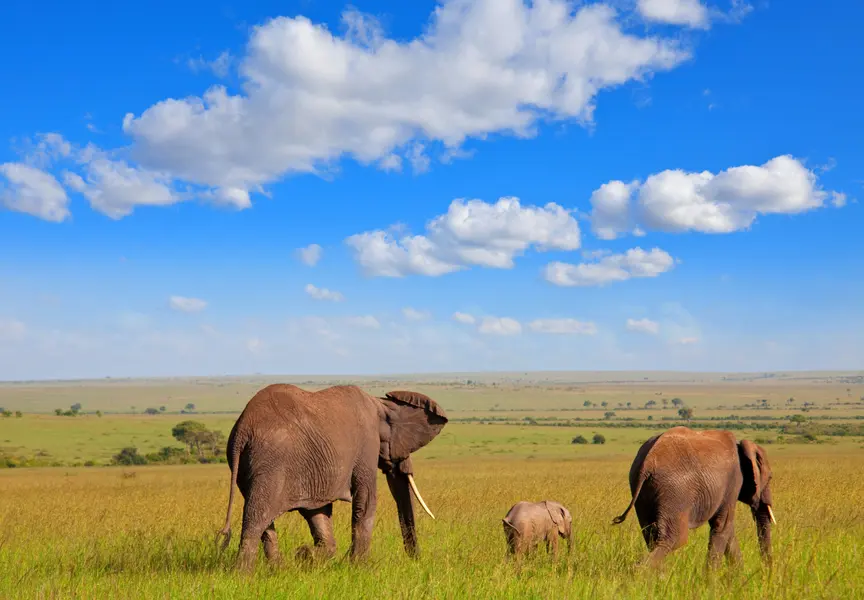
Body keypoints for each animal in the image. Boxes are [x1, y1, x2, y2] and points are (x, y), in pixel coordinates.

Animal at [217, 383, 448, 570]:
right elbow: (366, 499)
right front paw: (357, 567)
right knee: (256, 517)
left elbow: (318, 512)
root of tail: (241, 431)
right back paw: (243, 575)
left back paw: (278, 570)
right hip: (271, 464)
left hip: (248, 468)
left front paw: (308, 555)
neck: (380, 404)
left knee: (264, 520)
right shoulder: (367, 443)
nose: (416, 560)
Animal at [612, 426, 776, 569]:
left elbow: (727, 531)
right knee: (674, 538)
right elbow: (722, 526)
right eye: (770, 478)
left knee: (651, 536)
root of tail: (647, 463)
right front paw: (711, 580)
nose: (765, 571)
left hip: (642, 490)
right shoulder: (733, 481)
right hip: (676, 491)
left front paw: (738, 576)